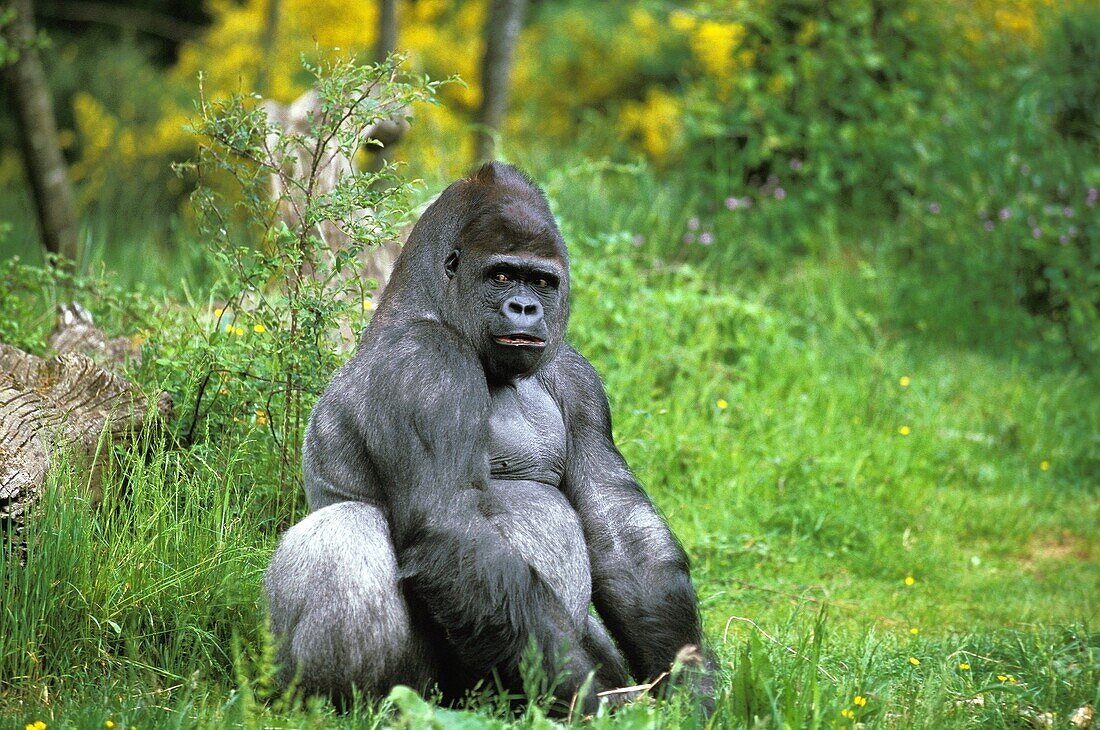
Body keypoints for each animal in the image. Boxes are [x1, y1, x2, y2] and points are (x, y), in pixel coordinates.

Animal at [266, 161, 712, 712]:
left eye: (541, 281)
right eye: (501, 275)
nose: (524, 308)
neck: (428, 305)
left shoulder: (577, 376)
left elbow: (619, 529)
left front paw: (692, 685)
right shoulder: (426, 364)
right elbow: (452, 526)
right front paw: (590, 702)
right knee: (347, 531)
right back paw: (352, 704)